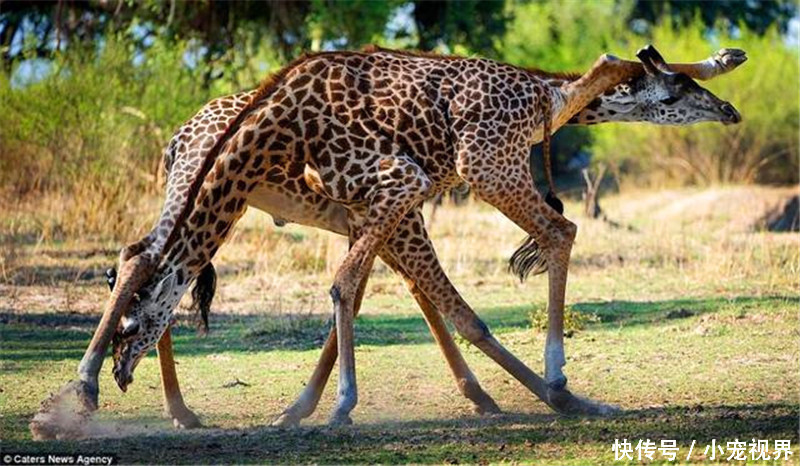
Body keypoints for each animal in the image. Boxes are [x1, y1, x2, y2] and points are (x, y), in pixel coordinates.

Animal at [31, 45, 744, 436]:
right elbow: (433, 302)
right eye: (677, 96)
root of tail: (180, 135)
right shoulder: (402, 193)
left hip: (215, 198)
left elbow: (395, 294)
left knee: (140, 257)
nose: (728, 110)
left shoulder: (386, 204)